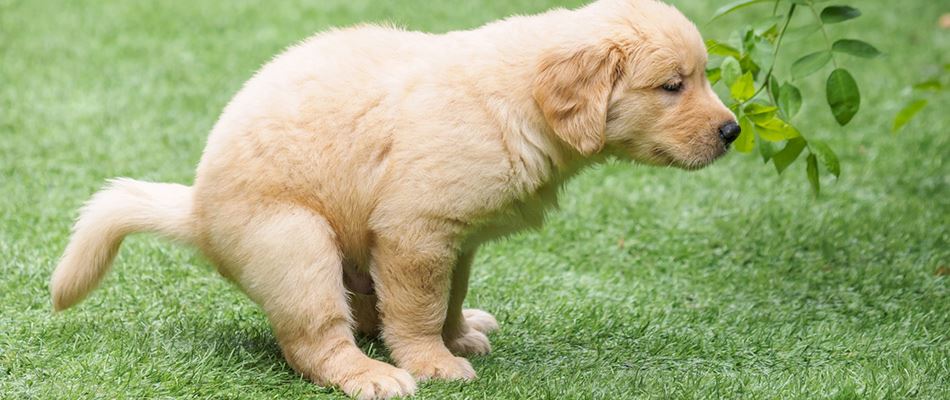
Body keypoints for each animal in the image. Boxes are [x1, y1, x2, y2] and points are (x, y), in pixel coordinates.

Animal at [50, 0, 736, 398]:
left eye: (702, 77)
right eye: (672, 85)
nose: (731, 131)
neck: (518, 102)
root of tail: (197, 210)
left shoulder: (454, 239)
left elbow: (447, 297)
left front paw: (457, 336)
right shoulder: (417, 230)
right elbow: (419, 308)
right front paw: (432, 362)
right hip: (296, 243)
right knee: (314, 341)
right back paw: (373, 374)